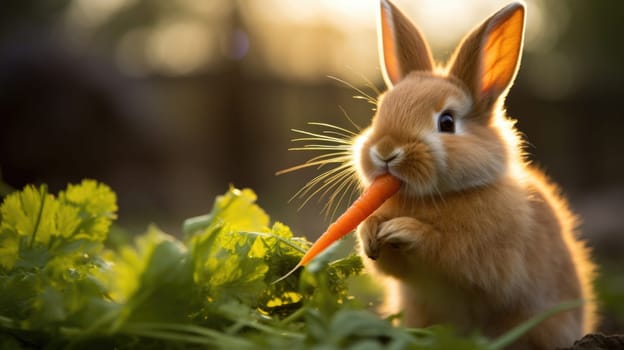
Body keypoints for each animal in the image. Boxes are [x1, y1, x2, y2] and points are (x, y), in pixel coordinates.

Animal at [354, 1, 596, 348]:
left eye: (446, 122)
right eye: (379, 110)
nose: (386, 151)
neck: (441, 195)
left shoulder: (483, 256)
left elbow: (445, 250)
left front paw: (403, 230)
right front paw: (370, 231)